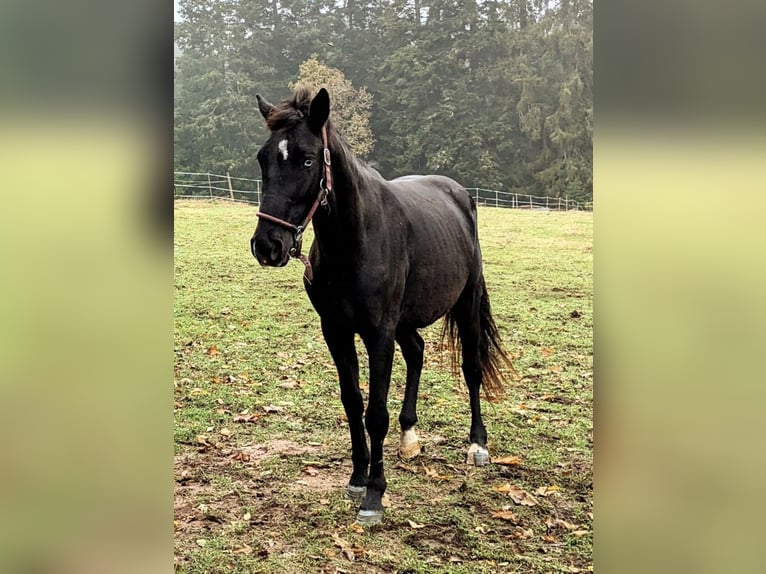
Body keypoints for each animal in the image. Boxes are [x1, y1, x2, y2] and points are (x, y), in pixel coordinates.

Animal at [254, 86, 516, 528]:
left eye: (307, 159)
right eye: (263, 158)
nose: (267, 245)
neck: (355, 240)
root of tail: (460, 194)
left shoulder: (378, 332)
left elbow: (375, 412)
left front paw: (375, 494)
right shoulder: (336, 329)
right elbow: (352, 402)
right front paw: (358, 478)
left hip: (464, 304)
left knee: (471, 368)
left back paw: (477, 445)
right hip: (405, 321)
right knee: (417, 353)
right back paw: (409, 436)